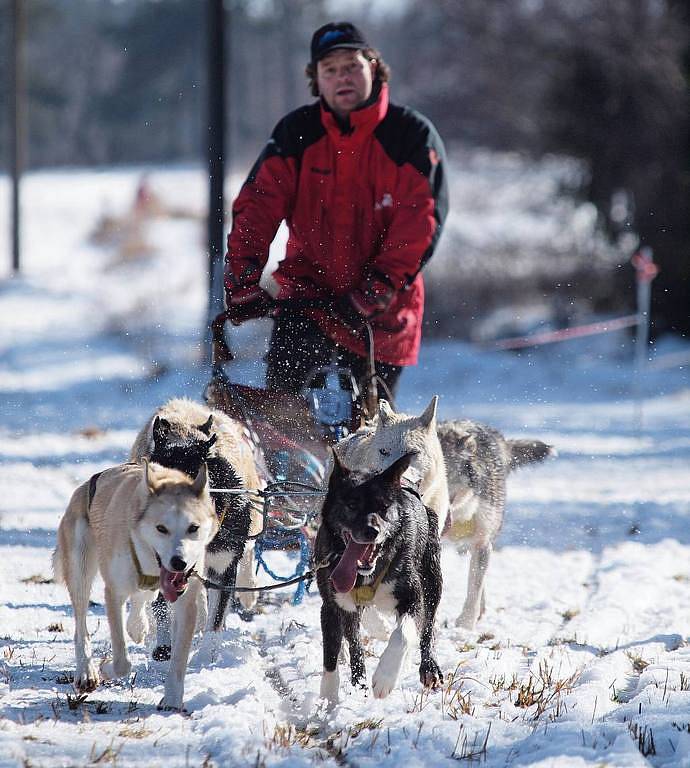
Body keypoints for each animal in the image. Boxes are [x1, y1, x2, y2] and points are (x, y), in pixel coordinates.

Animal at [52, 460, 216, 712]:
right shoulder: (114, 593)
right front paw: (105, 667)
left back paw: (137, 626)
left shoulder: (186, 602)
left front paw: (172, 699)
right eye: (161, 528)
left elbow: (179, 659)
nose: (179, 562)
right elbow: (121, 661)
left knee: (142, 598)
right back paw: (86, 670)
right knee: (81, 626)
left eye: (193, 528)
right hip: (80, 568)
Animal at [314, 452, 440, 704]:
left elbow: (403, 635)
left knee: (428, 627)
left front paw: (385, 678)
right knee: (354, 641)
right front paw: (328, 701)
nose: (372, 531)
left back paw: (429, 667)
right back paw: (359, 681)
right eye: (352, 504)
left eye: (384, 507)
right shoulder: (331, 606)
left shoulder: (413, 597)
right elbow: (331, 655)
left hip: (433, 579)